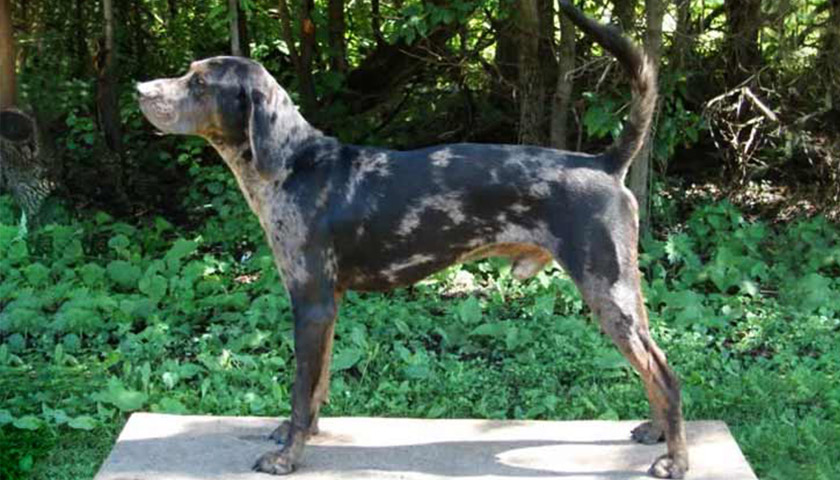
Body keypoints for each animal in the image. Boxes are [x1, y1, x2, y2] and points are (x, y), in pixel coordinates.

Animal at [137, 2, 688, 477]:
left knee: (665, 373)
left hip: (608, 291)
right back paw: (657, 432)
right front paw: (304, 434)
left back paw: (676, 460)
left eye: (199, 81)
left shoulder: (310, 301)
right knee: (655, 370)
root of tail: (603, 164)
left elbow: (299, 387)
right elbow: (317, 385)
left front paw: (288, 457)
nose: (140, 89)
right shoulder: (328, 305)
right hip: (622, 295)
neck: (293, 163)